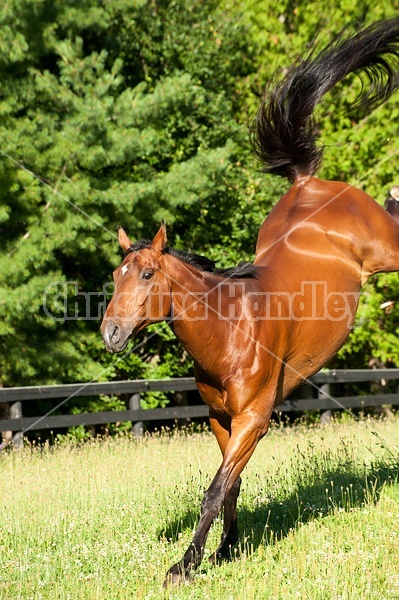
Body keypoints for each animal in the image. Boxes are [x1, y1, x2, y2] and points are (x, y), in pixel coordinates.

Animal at [101, 18, 399, 584]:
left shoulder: (254, 420)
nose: (110, 332)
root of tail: (307, 181)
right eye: (113, 274)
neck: (230, 333)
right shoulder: (222, 420)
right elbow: (232, 486)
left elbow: (215, 489)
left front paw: (184, 565)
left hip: (389, 249)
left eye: (146, 273)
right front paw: (225, 550)